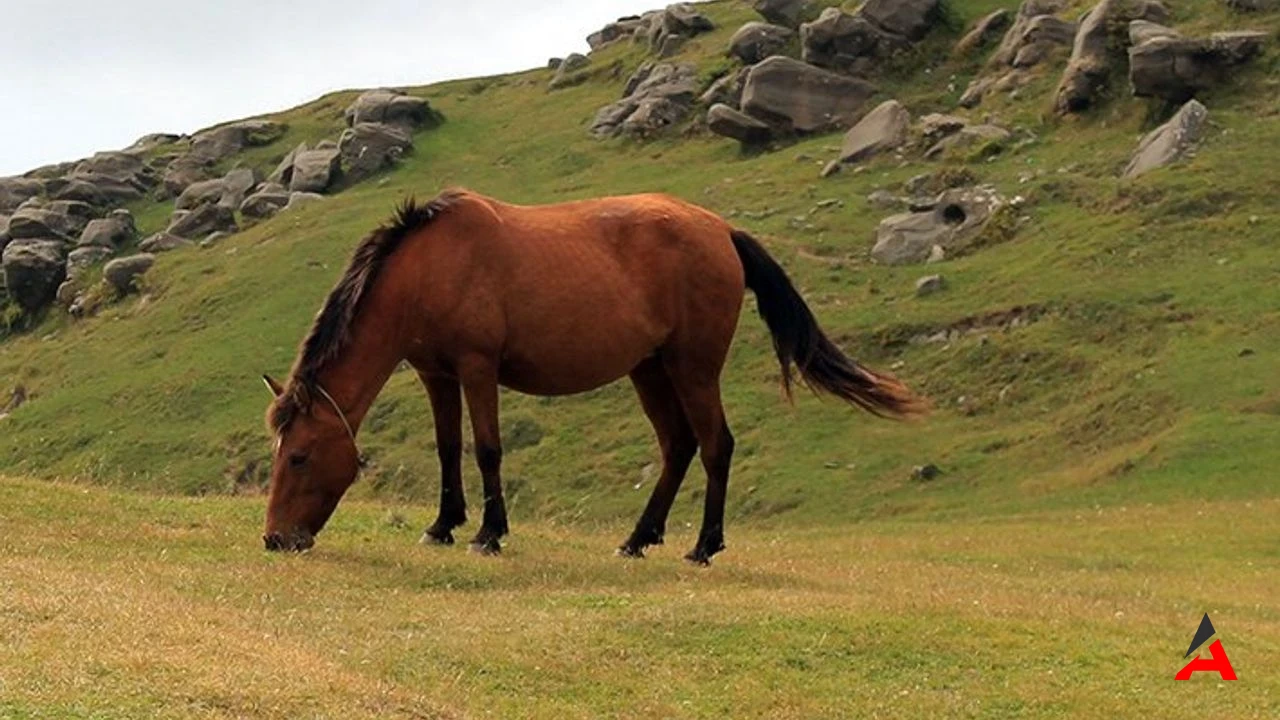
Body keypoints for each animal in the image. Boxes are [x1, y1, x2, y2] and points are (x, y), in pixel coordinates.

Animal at [262, 188, 921, 563]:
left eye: (298, 456)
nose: (275, 539)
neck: (430, 267)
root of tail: (721, 231)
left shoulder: (477, 369)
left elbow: (486, 449)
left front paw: (489, 534)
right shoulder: (436, 374)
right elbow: (448, 449)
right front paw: (443, 525)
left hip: (693, 368)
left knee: (715, 446)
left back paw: (703, 546)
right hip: (650, 371)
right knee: (679, 446)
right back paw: (638, 538)